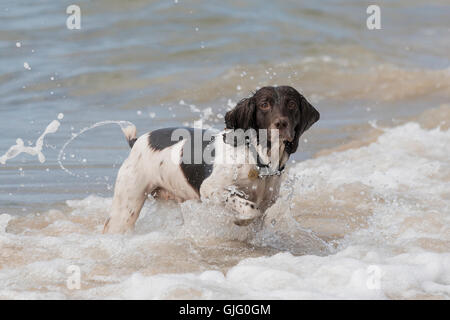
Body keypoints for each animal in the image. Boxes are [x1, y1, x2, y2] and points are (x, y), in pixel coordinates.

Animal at [103, 86, 320, 234]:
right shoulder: (210, 188)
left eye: (291, 104)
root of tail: (137, 141)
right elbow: (250, 209)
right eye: (264, 104)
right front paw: (240, 221)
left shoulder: (267, 201)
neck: (258, 158)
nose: (281, 124)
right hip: (126, 208)